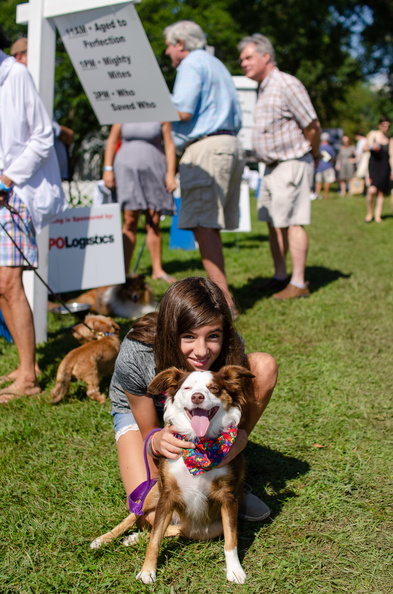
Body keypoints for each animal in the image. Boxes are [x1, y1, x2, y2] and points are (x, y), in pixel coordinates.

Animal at [90, 364, 253, 580]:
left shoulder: (228, 497)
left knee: (177, 529)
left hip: (208, 528)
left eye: (214, 388)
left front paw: (235, 570)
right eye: (187, 388)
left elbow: (231, 539)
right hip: (153, 492)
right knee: (134, 516)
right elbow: (155, 539)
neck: (198, 446)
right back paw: (103, 539)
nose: (197, 397)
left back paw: (134, 538)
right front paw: (147, 571)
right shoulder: (167, 495)